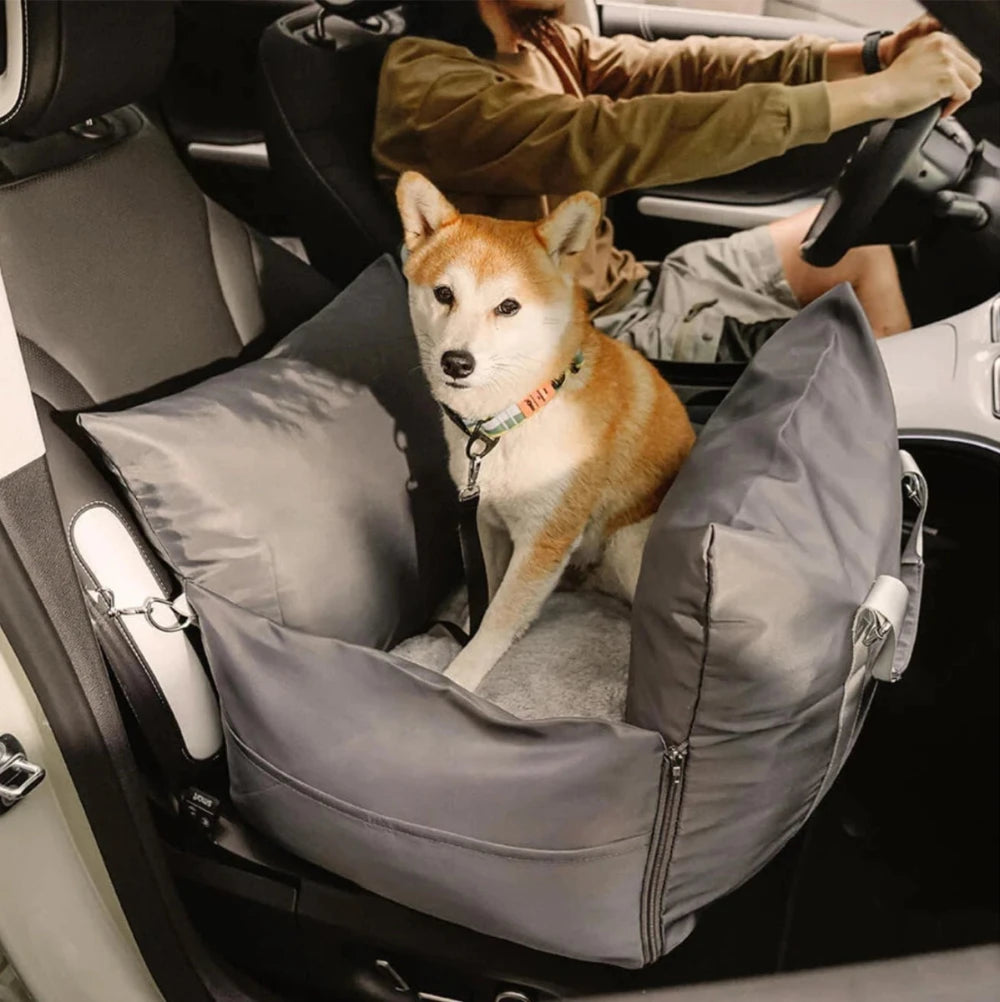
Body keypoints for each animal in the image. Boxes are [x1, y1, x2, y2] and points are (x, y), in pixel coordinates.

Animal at [396, 174, 697, 689]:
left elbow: (500, 617)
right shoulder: (486, 517)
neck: (513, 417)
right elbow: (491, 589)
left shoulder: (546, 536)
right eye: (444, 294)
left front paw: (460, 677)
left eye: (508, 306)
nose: (456, 362)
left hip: (624, 543)